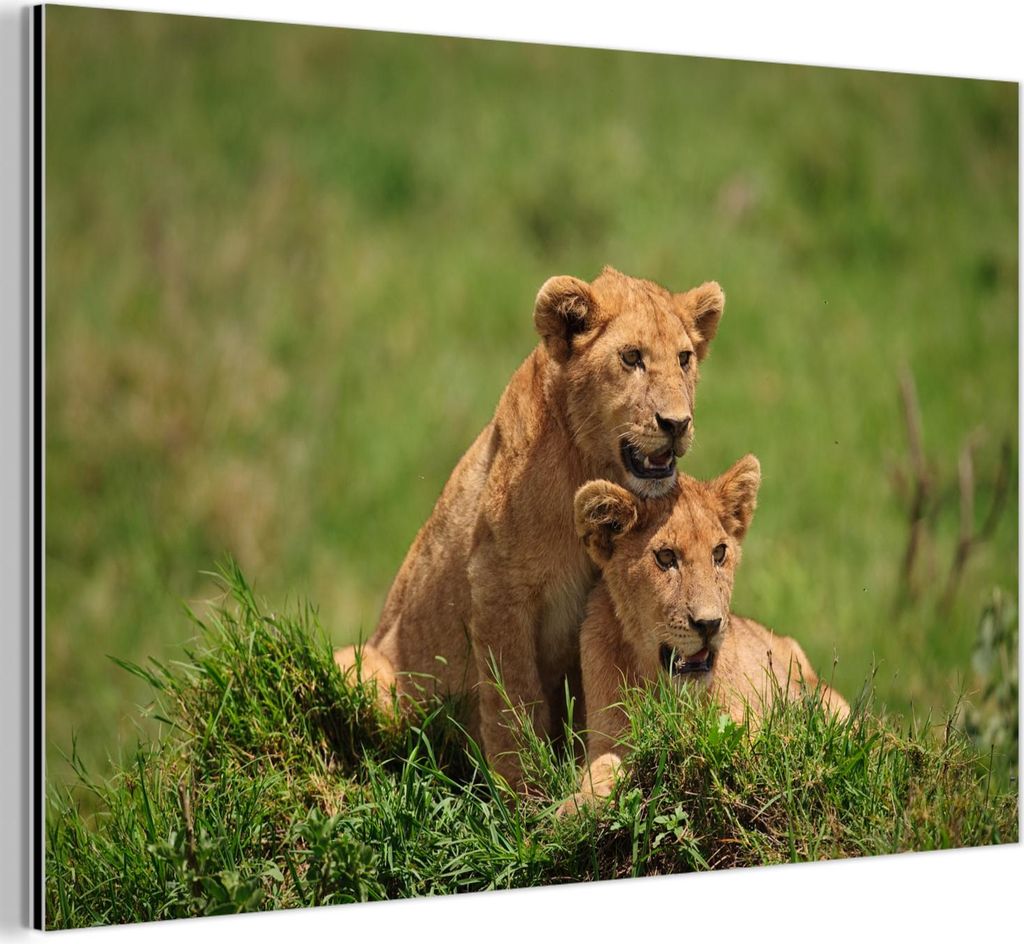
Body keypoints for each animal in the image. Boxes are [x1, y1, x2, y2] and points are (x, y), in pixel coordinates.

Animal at [335, 266, 726, 790]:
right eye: (631, 357)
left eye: (684, 359)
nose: (677, 423)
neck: (589, 465)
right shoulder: (496, 587)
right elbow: (513, 702)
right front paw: (522, 792)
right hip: (361, 667)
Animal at [560, 455, 850, 814]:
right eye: (666, 557)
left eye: (719, 553)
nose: (709, 624)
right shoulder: (607, 739)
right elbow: (600, 769)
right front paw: (579, 803)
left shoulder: (749, 721)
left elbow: (749, 742)